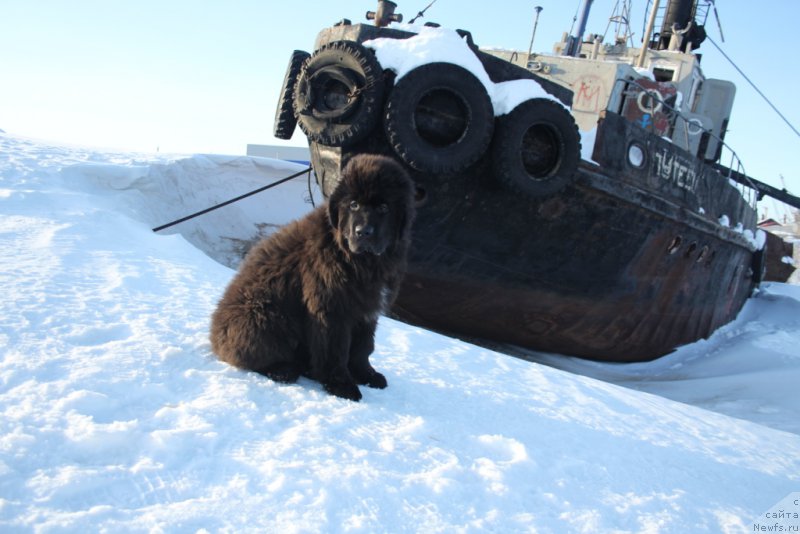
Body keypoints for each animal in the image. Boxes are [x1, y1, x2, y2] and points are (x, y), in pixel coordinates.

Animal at [209, 155, 416, 402]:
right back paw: (283, 370)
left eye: (384, 207)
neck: (359, 259)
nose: (362, 232)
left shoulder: (367, 309)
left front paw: (366, 375)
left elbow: (363, 347)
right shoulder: (331, 308)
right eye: (353, 204)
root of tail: (214, 336)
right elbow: (335, 350)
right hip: (266, 315)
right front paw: (342, 385)